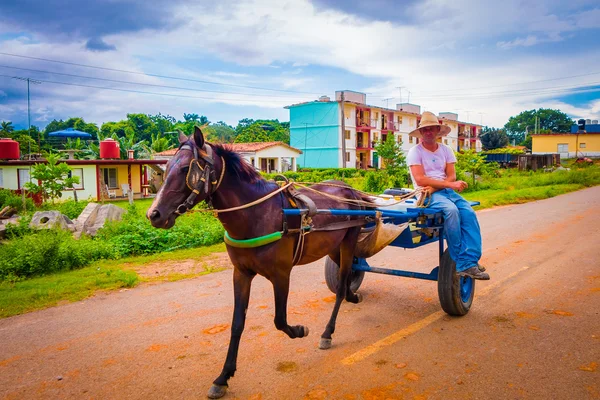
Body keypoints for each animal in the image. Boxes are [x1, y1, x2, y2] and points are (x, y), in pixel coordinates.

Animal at [148, 126, 372, 398]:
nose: (154, 214)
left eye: (184, 169)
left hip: (349, 239)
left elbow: (280, 320)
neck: (258, 214)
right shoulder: (241, 273)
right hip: (332, 247)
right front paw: (223, 377)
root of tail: (350, 190)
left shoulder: (281, 274)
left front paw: (300, 330)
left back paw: (328, 331)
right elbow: (237, 324)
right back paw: (353, 295)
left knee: (340, 285)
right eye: (165, 167)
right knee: (347, 275)